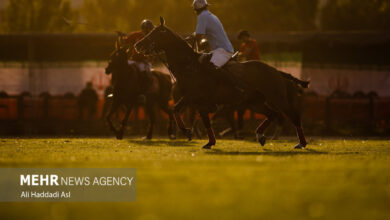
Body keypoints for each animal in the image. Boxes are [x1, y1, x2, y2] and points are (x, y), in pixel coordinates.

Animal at [136, 16, 310, 148]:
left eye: (155, 33)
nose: (137, 45)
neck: (188, 65)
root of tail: (276, 70)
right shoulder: (198, 102)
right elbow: (202, 119)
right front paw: (208, 142)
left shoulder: (193, 97)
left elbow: (177, 110)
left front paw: (188, 132)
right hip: (254, 102)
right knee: (273, 114)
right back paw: (260, 135)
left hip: (278, 98)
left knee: (293, 116)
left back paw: (301, 143)